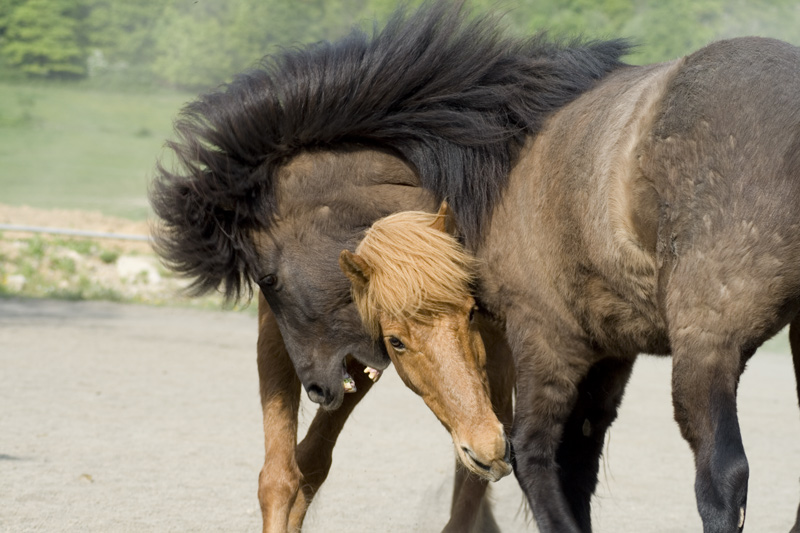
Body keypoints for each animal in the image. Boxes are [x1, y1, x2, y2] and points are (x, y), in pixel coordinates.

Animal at [148, 2, 800, 528]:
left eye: (268, 279)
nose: (319, 386)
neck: (487, 173)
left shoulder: (525, 340)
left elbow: (515, 463)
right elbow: (300, 471)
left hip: (700, 339)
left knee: (709, 474)